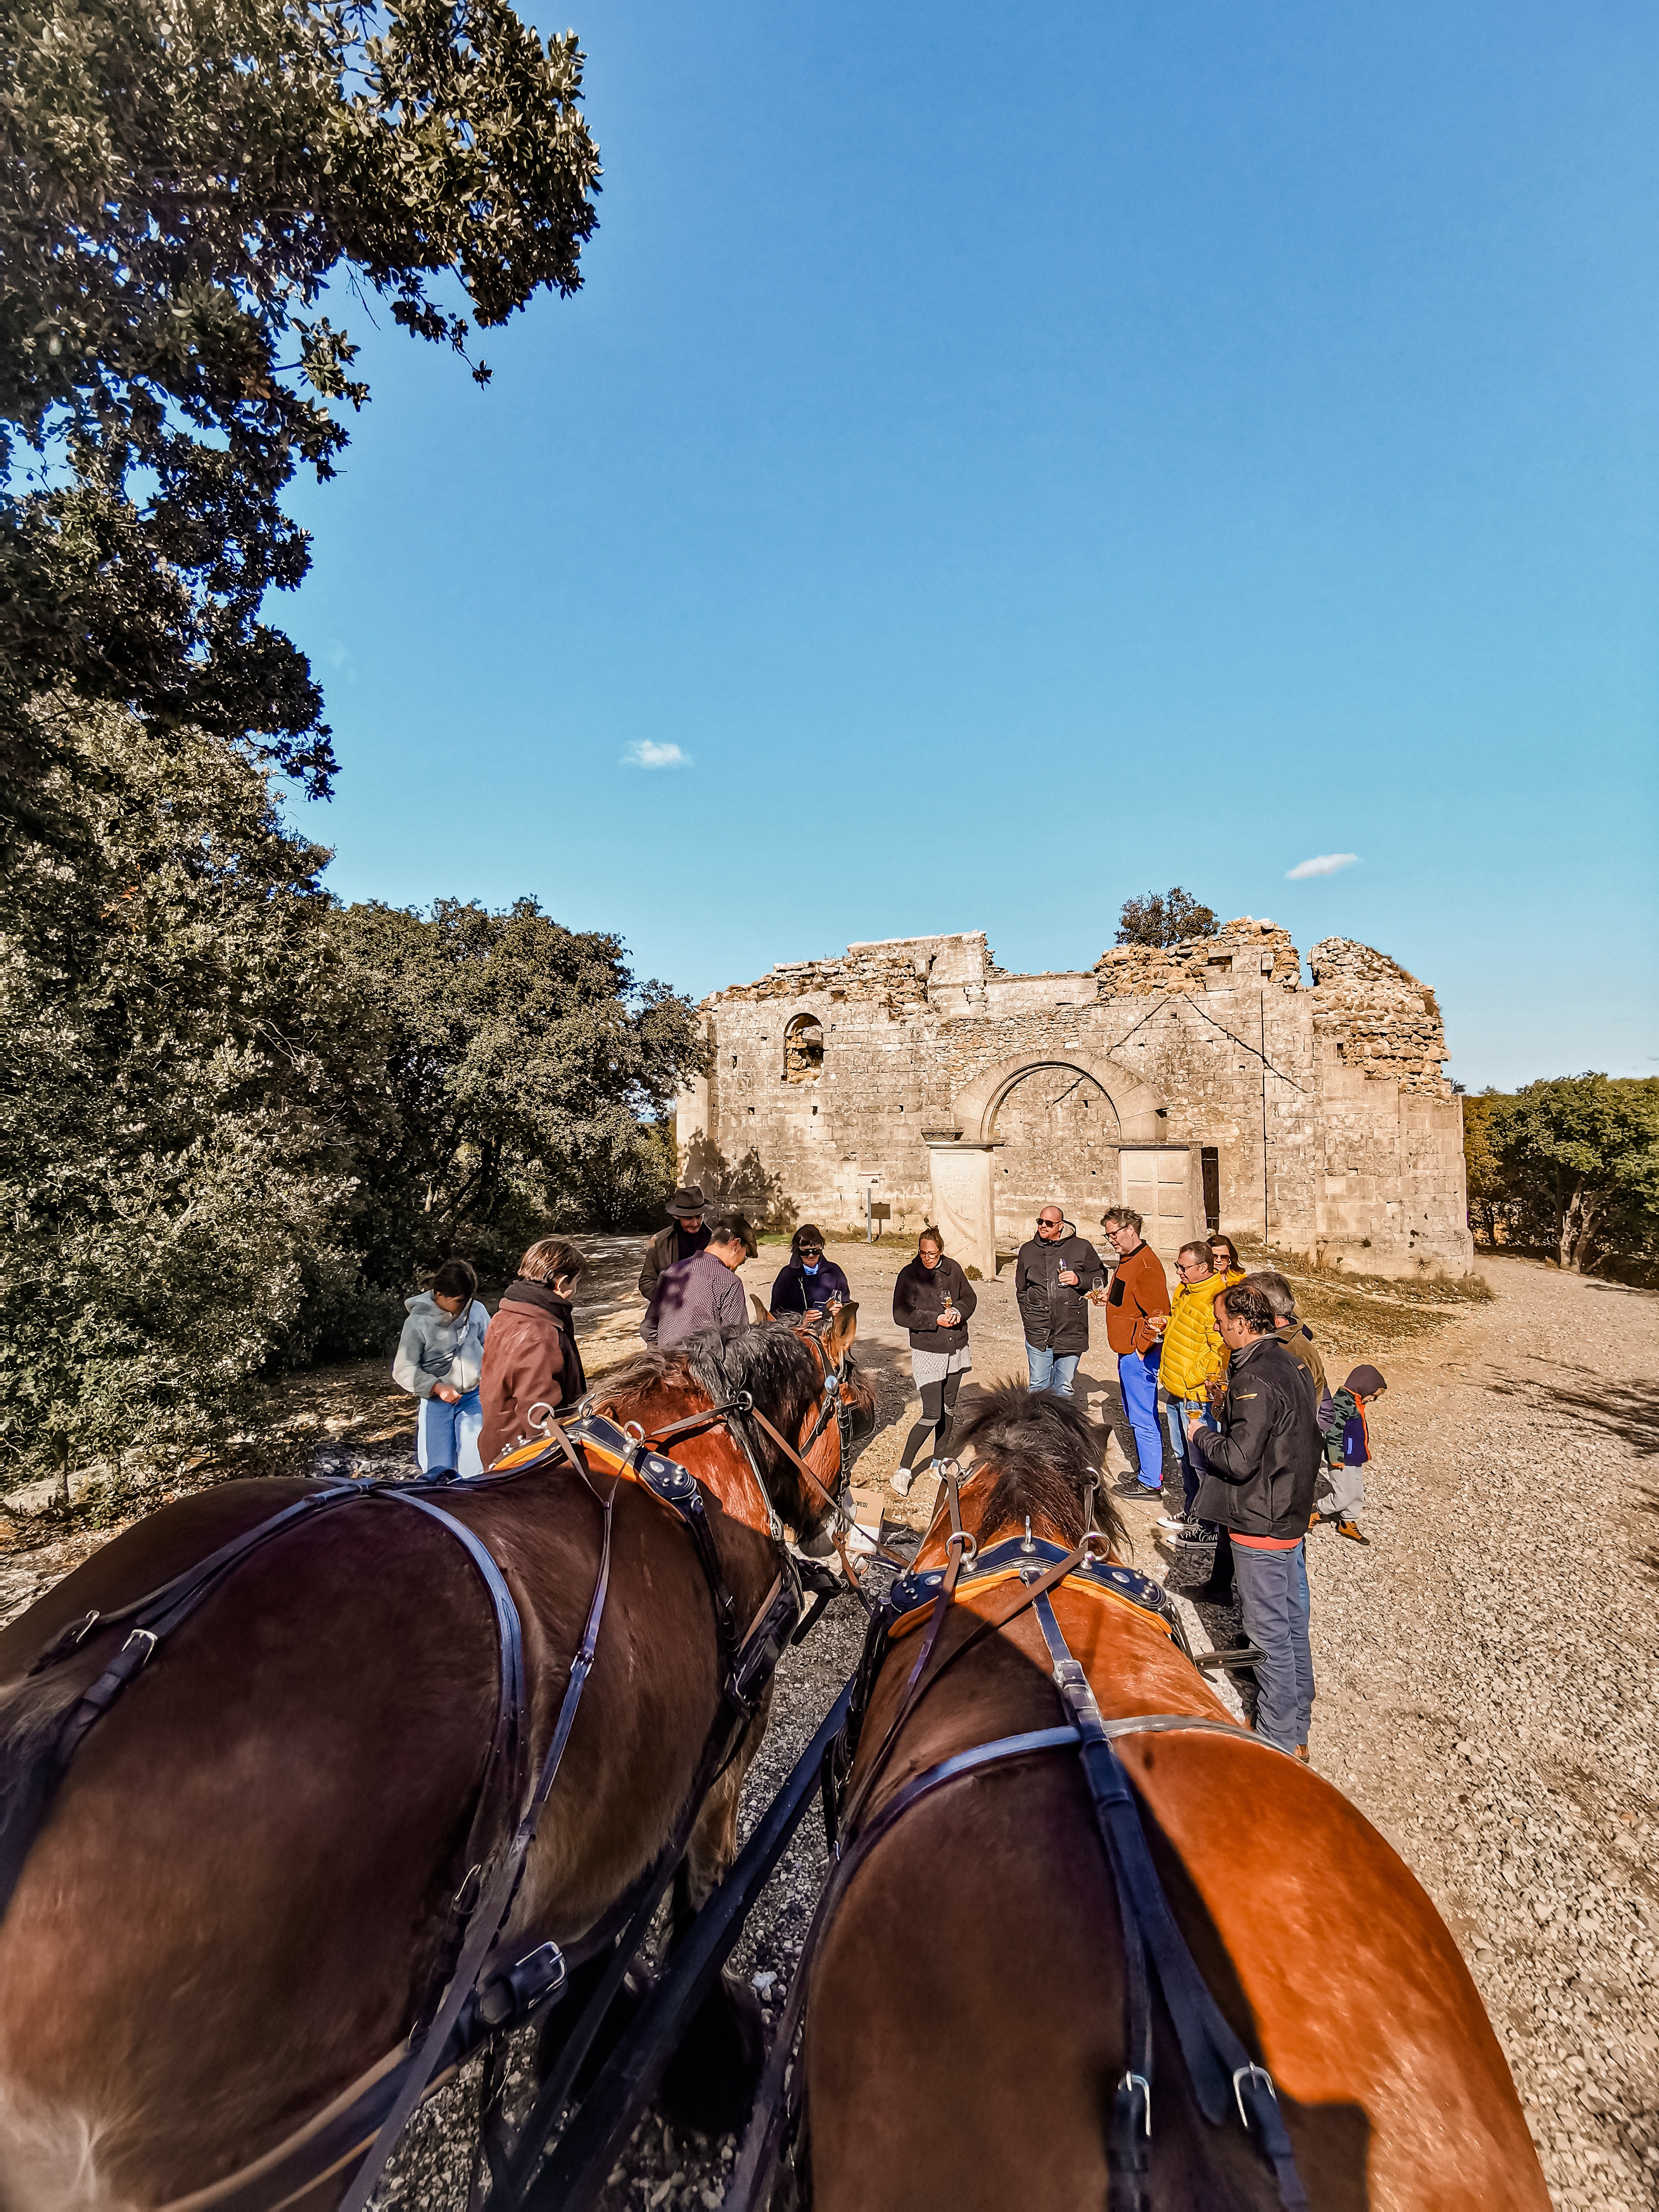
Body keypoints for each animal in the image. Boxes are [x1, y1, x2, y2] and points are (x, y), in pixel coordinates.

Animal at [0, 1309, 872, 2212]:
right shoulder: (727, 1748)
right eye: (855, 1409)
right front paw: (706, 2052)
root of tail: (80, 1698)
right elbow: (700, 1906)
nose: (844, 1529)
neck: (689, 1453)